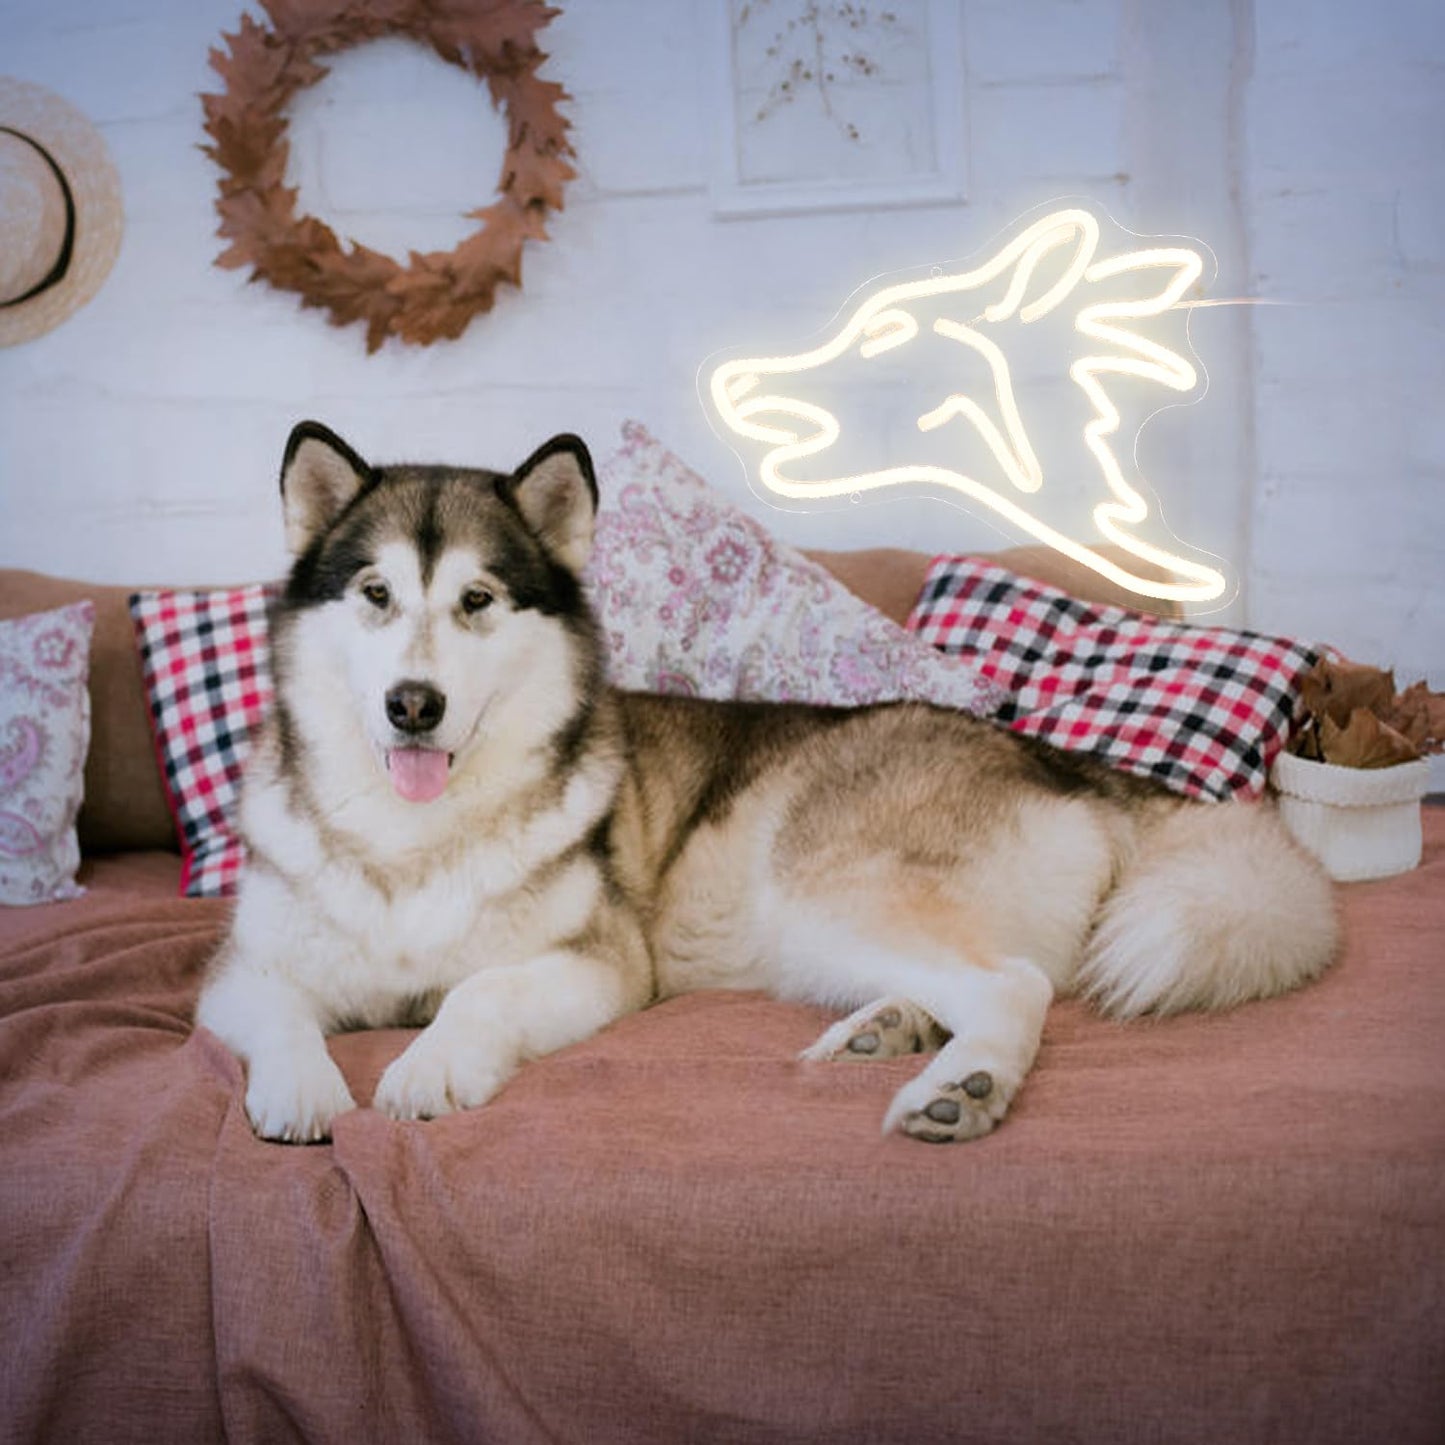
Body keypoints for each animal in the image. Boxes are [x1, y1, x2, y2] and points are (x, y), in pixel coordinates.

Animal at [195, 422, 1338, 1145]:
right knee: (978, 977)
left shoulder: (603, 966)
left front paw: (428, 1062)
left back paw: (959, 1088)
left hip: (816, 889)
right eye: (375, 593)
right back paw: (892, 1030)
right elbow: (282, 1009)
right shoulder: (237, 974)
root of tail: (1055, 757)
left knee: (1015, 983)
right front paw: (301, 1087)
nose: (413, 704)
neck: (411, 842)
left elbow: (476, 990)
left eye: (476, 598)